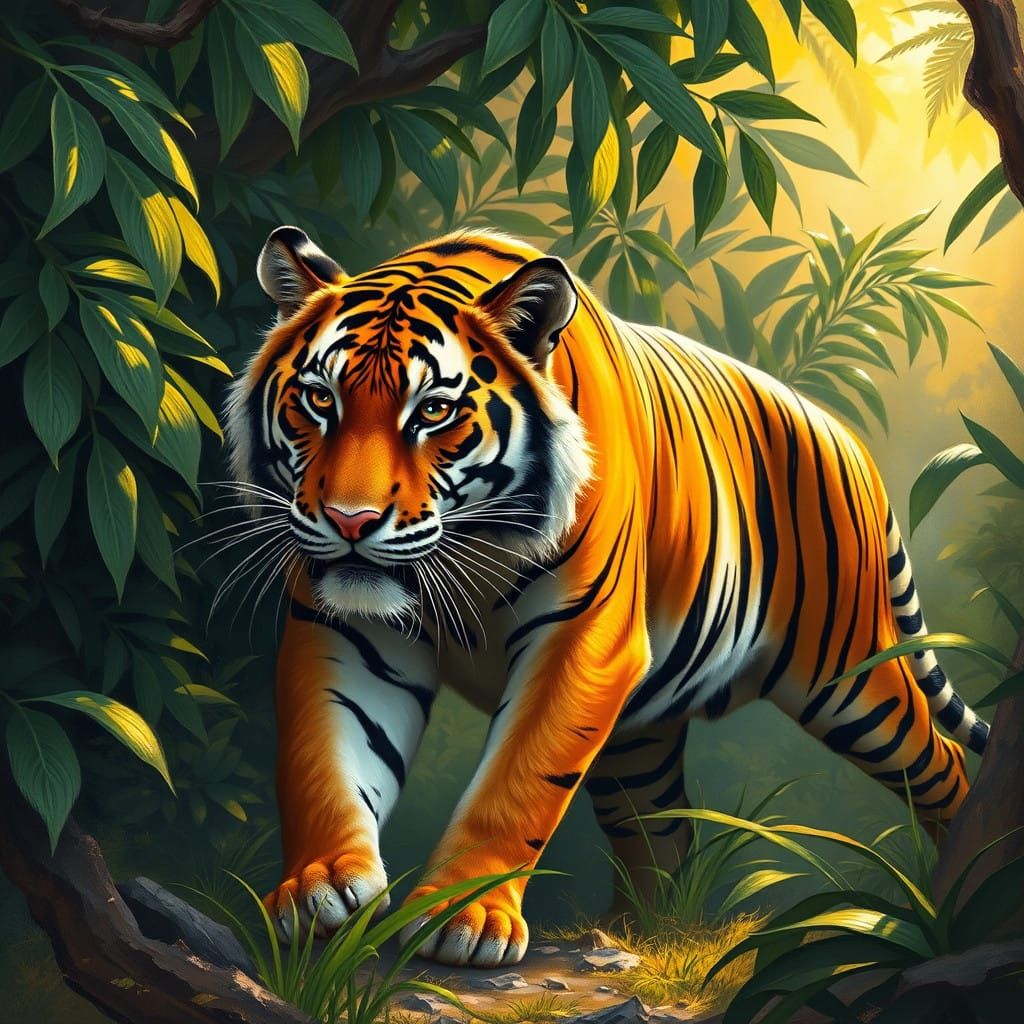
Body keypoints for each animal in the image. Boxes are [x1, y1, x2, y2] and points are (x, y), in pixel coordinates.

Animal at [225, 225, 989, 968]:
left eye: (434, 412)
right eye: (320, 400)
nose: (349, 521)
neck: (467, 550)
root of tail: (847, 440)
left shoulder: (580, 638)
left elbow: (517, 784)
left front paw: (463, 915)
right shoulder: (344, 632)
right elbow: (324, 761)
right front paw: (320, 888)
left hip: (850, 679)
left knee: (943, 767)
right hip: (640, 737)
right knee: (663, 833)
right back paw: (636, 935)